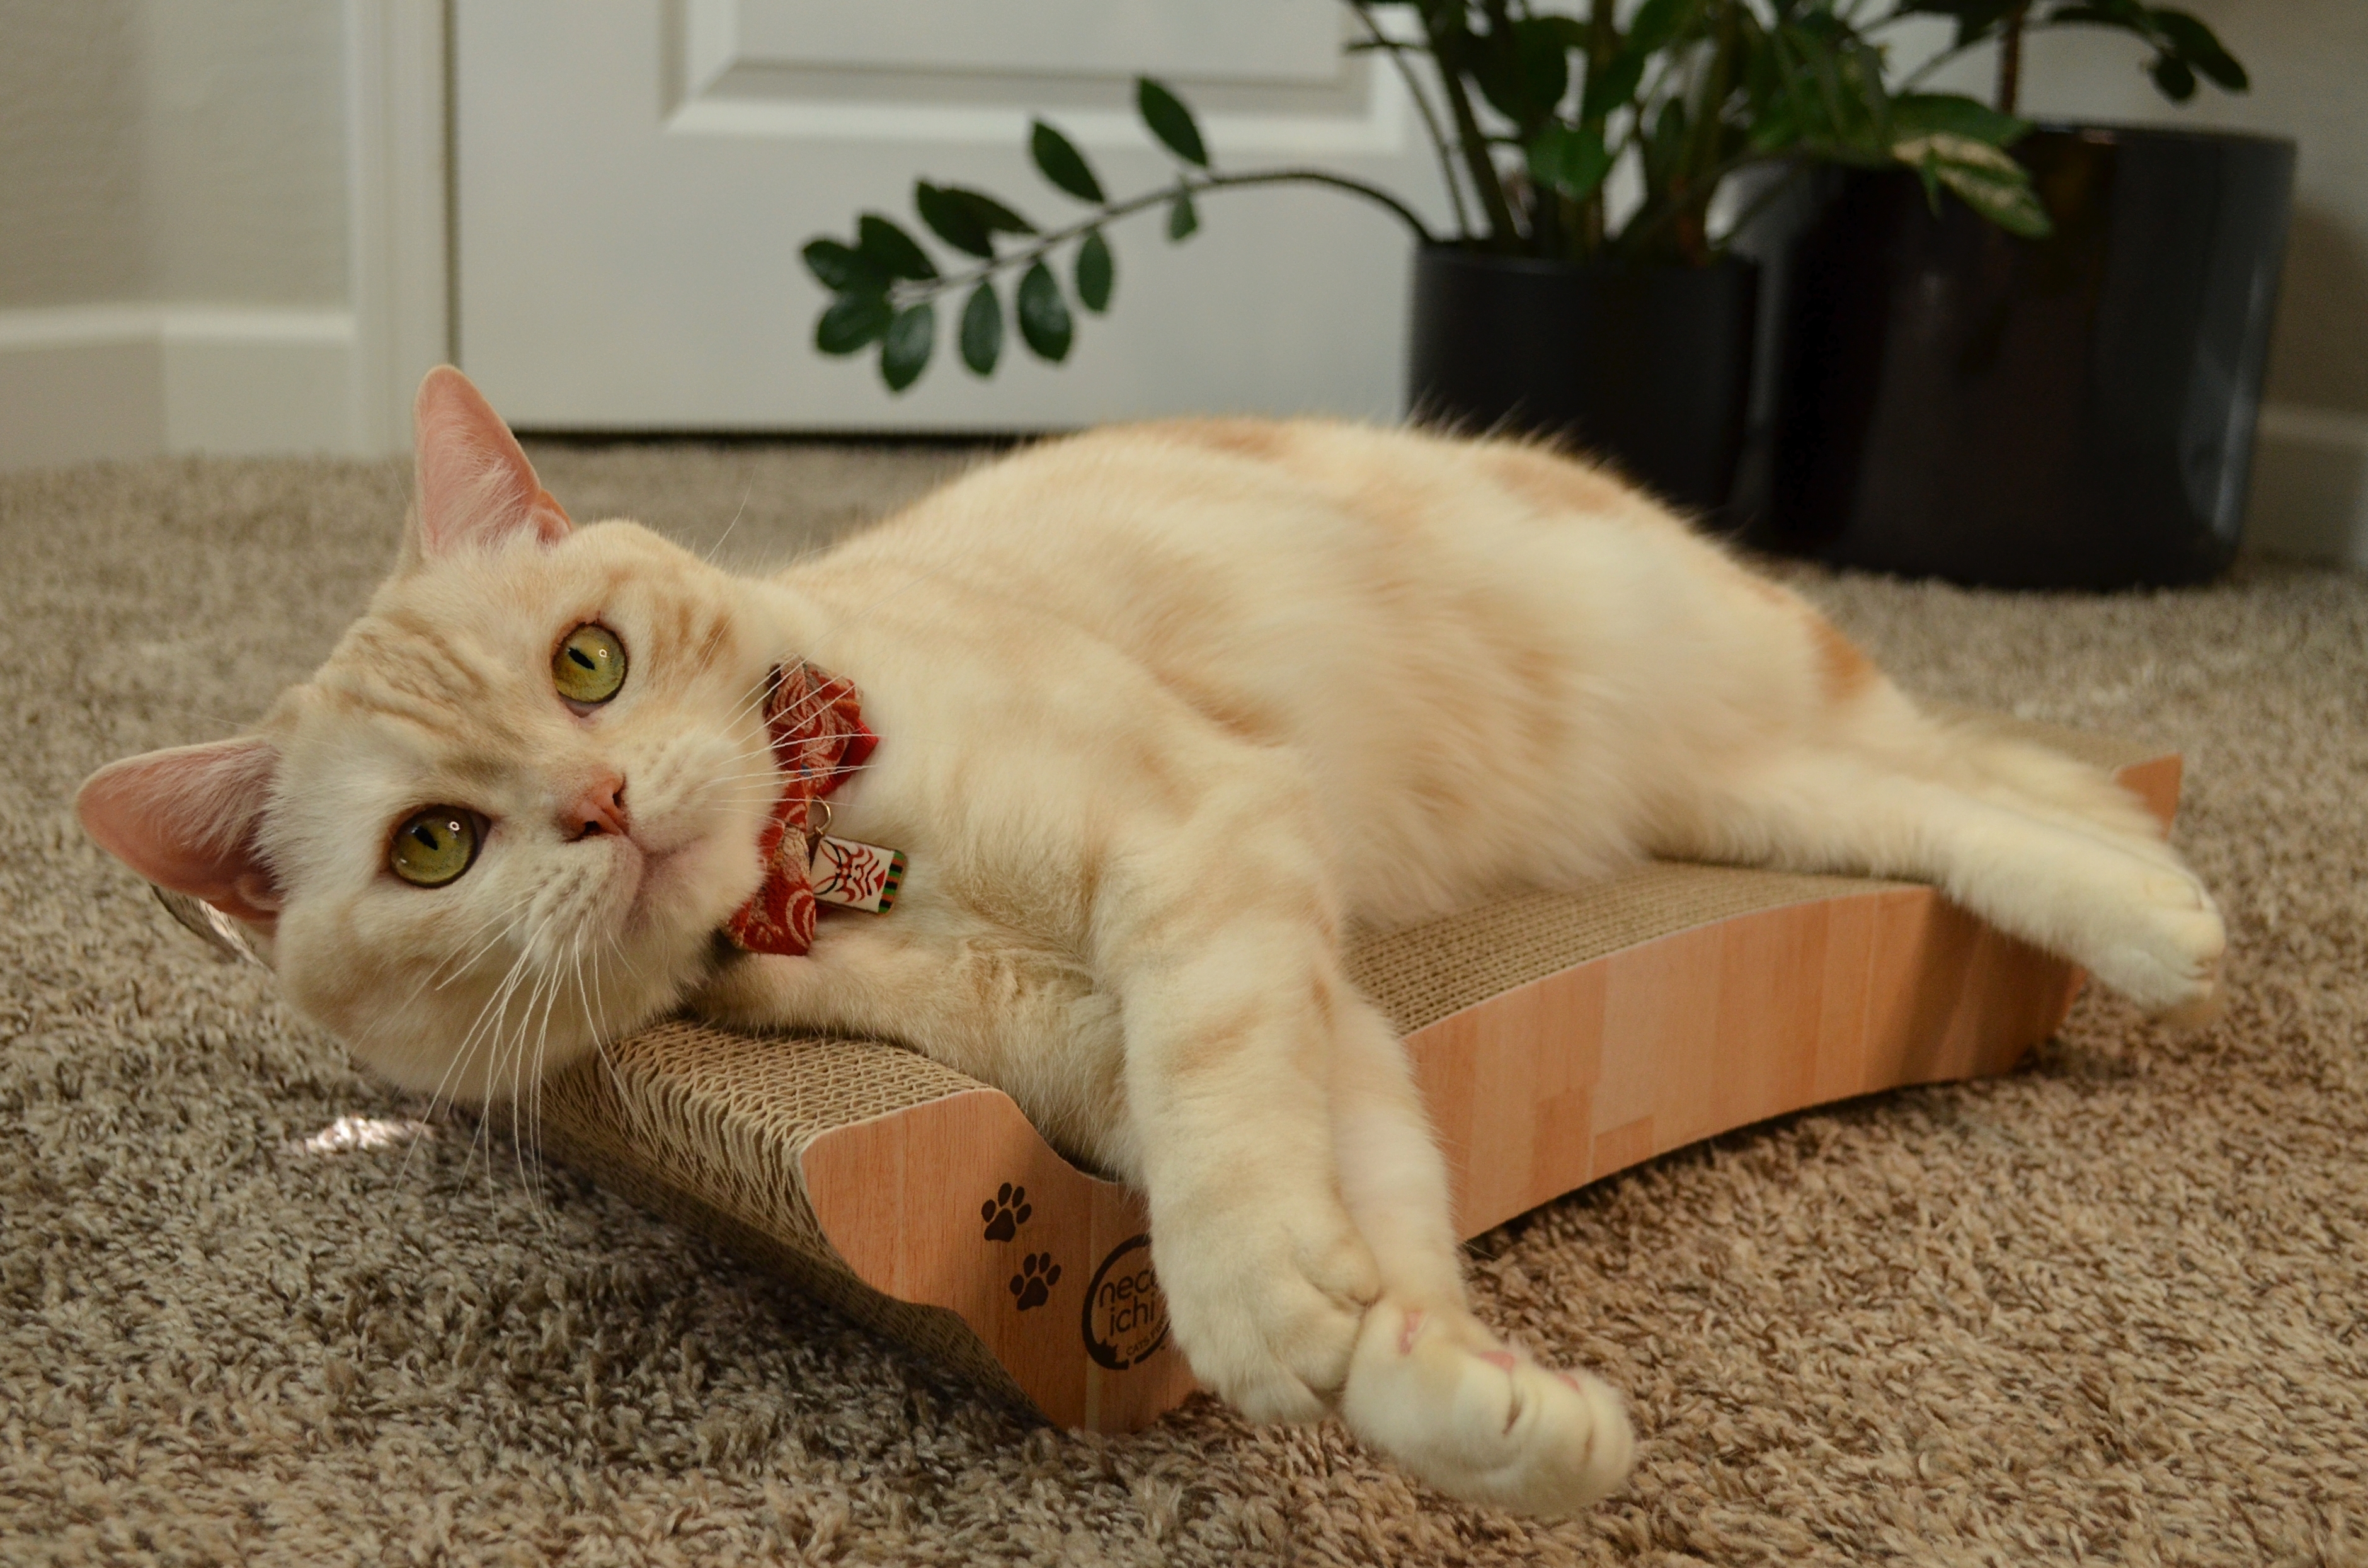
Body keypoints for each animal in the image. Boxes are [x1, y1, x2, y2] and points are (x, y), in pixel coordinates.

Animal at [74, 372, 2216, 1525]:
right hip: (1734, 792)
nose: (598, 803)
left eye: (584, 662)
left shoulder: (1202, 849)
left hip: (1729, 694)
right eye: (433, 845)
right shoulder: (1190, 1033)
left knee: (1973, 763)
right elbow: (1359, 1204)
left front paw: (1261, 1304)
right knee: (1930, 802)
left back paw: (2154, 908)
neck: (838, 860)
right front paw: (1465, 1408)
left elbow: (1223, 1134)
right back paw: (2124, 880)